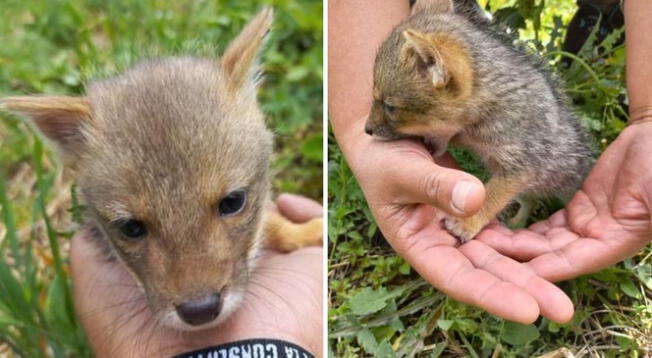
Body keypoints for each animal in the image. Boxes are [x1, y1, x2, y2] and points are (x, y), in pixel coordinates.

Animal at [366, 0, 596, 243]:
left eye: (390, 106)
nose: (366, 130)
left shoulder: (521, 167)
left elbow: (491, 196)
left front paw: (467, 223)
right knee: (530, 201)